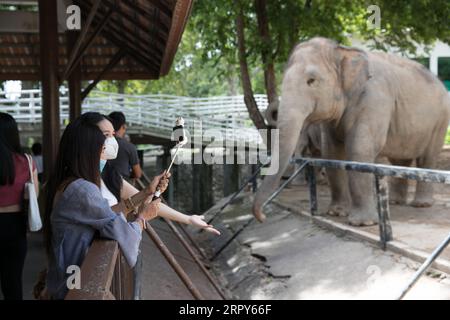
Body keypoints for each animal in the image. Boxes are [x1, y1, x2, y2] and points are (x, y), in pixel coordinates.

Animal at [253, 37, 450, 226]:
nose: (262, 216)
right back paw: (395, 202)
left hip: (440, 122)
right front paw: (336, 213)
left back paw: (421, 204)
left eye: (311, 81)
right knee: (400, 160)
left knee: (427, 159)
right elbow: (332, 153)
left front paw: (362, 223)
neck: (342, 50)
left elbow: (359, 149)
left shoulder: (374, 99)